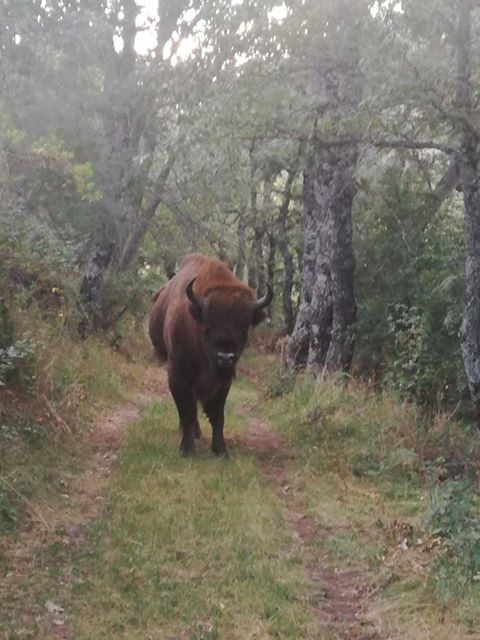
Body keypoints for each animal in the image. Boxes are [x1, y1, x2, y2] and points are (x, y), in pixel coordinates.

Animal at [148, 252, 272, 458]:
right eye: (208, 326)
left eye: (243, 327)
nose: (225, 357)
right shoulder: (178, 375)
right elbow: (186, 411)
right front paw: (186, 449)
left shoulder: (223, 383)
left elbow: (217, 415)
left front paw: (221, 449)